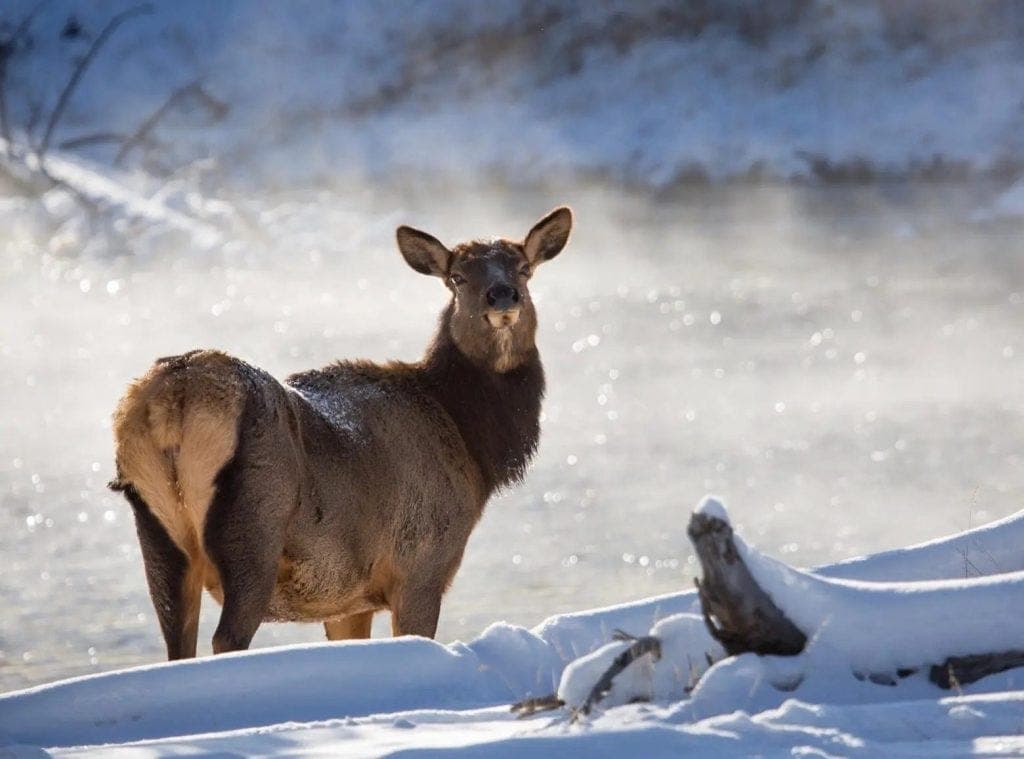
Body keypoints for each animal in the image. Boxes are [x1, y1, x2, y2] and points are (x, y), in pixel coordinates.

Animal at [108, 207, 573, 660]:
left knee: (177, 645)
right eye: (457, 277)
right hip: (254, 525)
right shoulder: (421, 565)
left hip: (159, 531)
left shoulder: (348, 600)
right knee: (227, 639)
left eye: (524, 268)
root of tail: (174, 399)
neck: (471, 444)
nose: (503, 296)